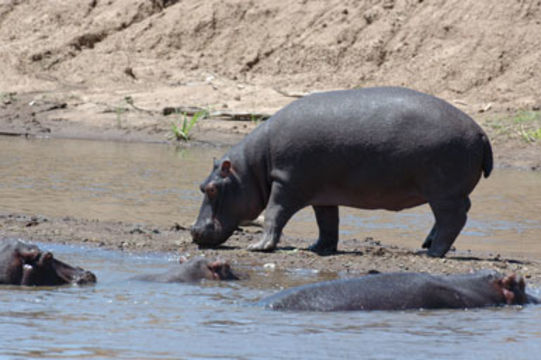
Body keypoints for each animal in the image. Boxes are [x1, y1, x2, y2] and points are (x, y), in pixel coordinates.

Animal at [190, 86, 490, 256]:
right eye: (201, 186)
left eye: (212, 189)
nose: (194, 230)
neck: (253, 167)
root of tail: (481, 133)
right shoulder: (322, 194)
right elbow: (327, 222)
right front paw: (318, 248)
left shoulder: (286, 183)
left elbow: (274, 214)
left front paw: (259, 247)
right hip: (443, 192)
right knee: (446, 218)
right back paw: (427, 245)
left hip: (443, 192)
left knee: (453, 217)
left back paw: (433, 253)